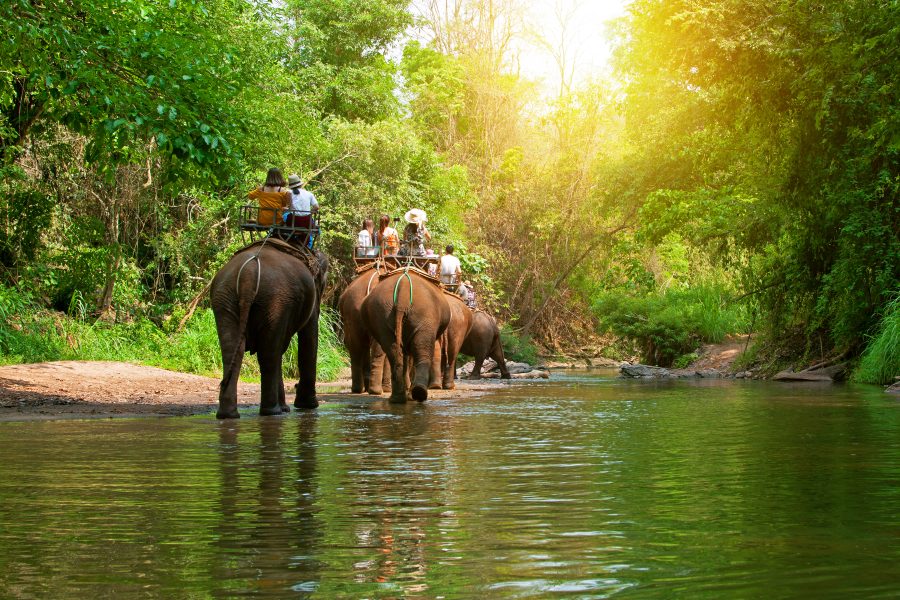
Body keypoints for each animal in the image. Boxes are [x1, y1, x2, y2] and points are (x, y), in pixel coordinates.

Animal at [210, 239, 328, 419]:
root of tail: (249, 273)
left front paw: (289, 407)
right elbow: (309, 337)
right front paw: (307, 406)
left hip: (225, 297)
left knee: (233, 351)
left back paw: (228, 415)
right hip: (275, 300)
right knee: (269, 354)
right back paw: (272, 411)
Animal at [361, 268, 451, 403]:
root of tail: (402, 293)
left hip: (382, 314)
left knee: (393, 351)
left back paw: (399, 398)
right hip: (425, 316)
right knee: (422, 350)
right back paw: (418, 394)